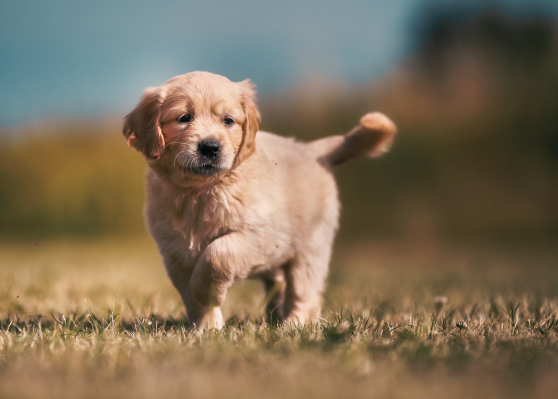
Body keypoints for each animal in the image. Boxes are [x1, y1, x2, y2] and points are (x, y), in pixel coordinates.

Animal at [122, 73, 396, 330]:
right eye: (184, 118)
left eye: (228, 121)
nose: (210, 147)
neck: (200, 191)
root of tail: (312, 149)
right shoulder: (174, 253)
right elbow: (191, 296)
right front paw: (206, 328)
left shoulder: (263, 235)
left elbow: (217, 255)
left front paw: (209, 294)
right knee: (280, 285)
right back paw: (275, 319)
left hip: (311, 248)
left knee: (304, 294)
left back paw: (293, 326)